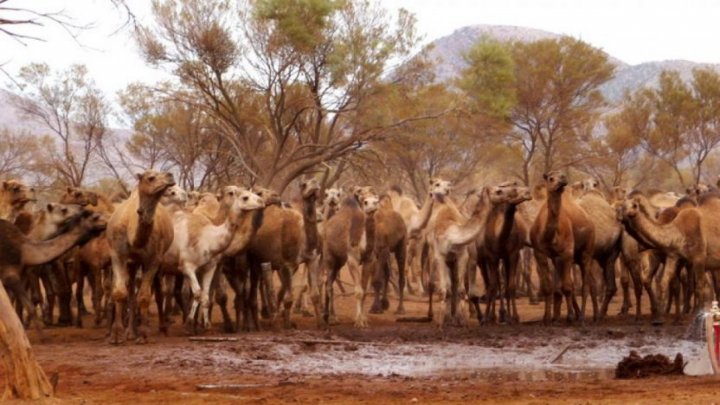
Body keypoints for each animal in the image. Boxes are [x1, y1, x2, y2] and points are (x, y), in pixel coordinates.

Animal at [105, 169, 176, 342]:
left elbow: (144, 296)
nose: (170, 175)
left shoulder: (154, 260)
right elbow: (120, 293)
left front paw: (143, 334)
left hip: (156, 262)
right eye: (151, 178)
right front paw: (116, 334)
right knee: (131, 291)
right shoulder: (117, 255)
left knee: (158, 292)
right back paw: (130, 332)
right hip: (132, 263)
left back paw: (161, 329)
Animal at [528, 169, 596, 324]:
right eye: (551, 178)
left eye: (562, 175)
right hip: (566, 258)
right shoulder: (540, 253)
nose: (563, 179)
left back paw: (583, 317)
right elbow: (550, 287)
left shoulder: (566, 253)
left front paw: (570, 316)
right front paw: (548, 318)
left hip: (587, 252)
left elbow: (567, 287)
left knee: (585, 285)